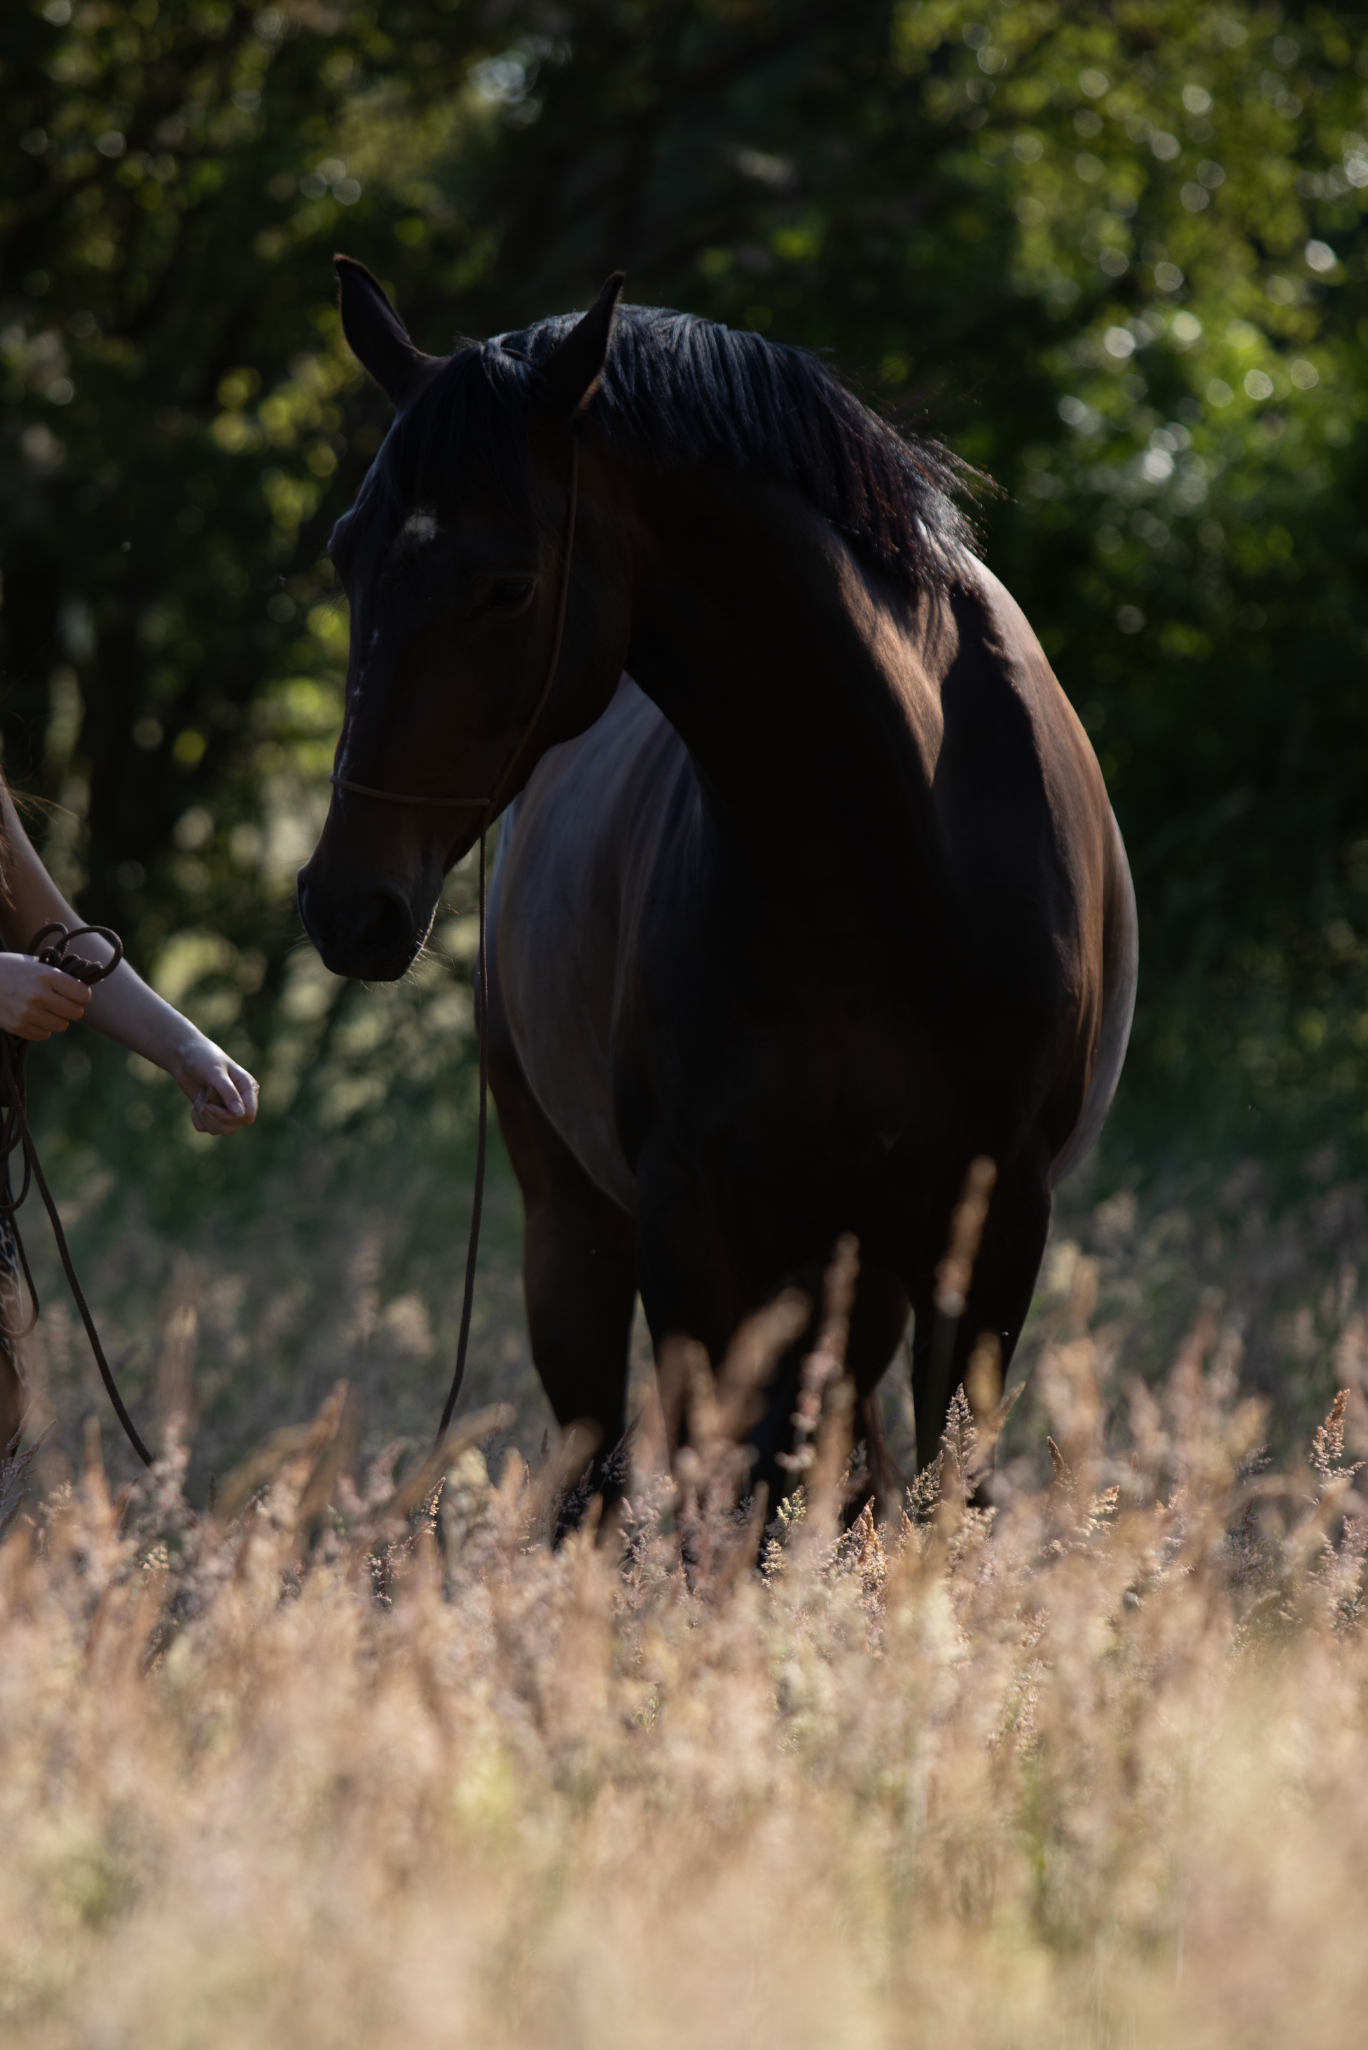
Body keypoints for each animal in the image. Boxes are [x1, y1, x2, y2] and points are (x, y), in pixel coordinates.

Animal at [298, 259, 1137, 1511]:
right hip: (579, 1236)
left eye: (507, 587)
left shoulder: (990, 1234)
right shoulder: (689, 1227)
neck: (886, 854)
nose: (345, 905)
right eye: (348, 555)